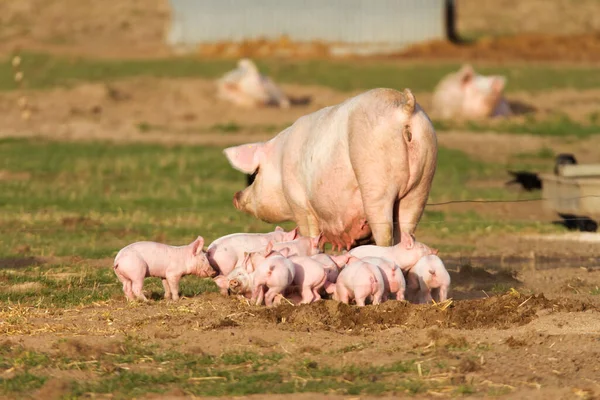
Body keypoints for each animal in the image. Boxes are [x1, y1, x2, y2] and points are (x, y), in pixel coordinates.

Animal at [223, 87, 438, 252]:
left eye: (254, 175)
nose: (235, 196)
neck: (280, 160)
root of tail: (405, 108)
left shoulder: (299, 202)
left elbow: (309, 233)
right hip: (422, 182)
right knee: (407, 229)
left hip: (376, 179)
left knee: (384, 232)